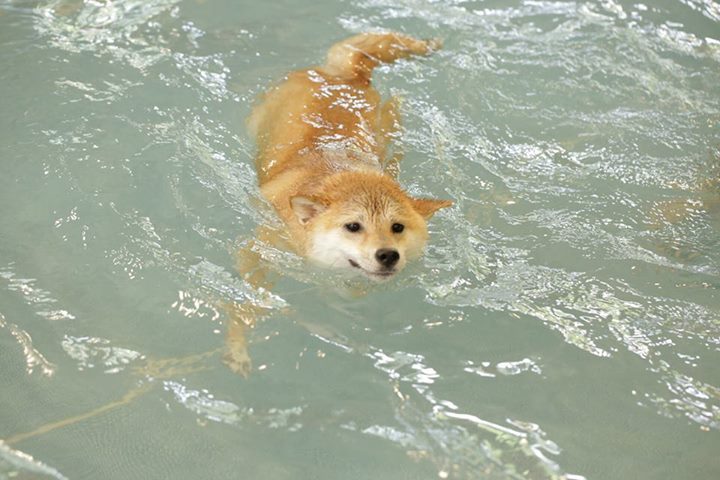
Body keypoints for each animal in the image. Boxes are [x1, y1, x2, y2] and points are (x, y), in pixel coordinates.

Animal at [224, 32, 451, 376]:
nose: (388, 255)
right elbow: (247, 300)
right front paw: (239, 344)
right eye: (353, 226)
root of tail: (347, 76)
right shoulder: (263, 245)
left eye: (397, 227)